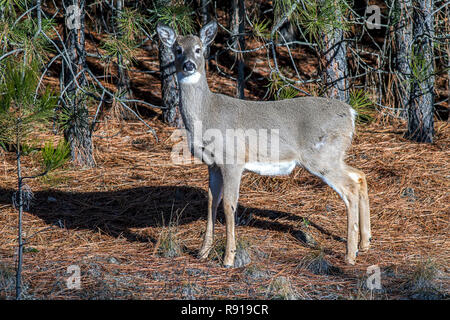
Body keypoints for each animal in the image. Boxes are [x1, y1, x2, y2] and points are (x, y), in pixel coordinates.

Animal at [156, 20, 370, 268]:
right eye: (178, 49)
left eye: (199, 49)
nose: (189, 65)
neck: (208, 114)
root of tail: (351, 113)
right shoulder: (212, 164)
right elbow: (211, 202)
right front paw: (203, 252)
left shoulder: (233, 159)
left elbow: (229, 205)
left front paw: (228, 257)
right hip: (334, 155)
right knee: (360, 175)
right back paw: (365, 243)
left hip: (321, 156)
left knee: (350, 188)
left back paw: (350, 254)